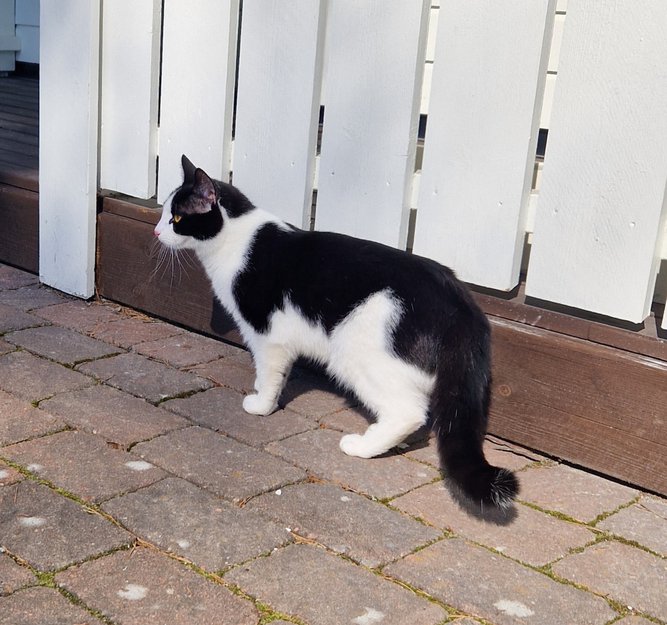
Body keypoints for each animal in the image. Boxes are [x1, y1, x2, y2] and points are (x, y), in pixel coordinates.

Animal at [154, 155, 519, 509]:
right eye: (164, 214)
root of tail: (461, 300)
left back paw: (363, 446)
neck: (236, 238)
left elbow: (269, 372)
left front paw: (261, 404)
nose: (156, 232)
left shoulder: (268, 336)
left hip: (354, 350)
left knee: (409, 411)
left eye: (176, 218)